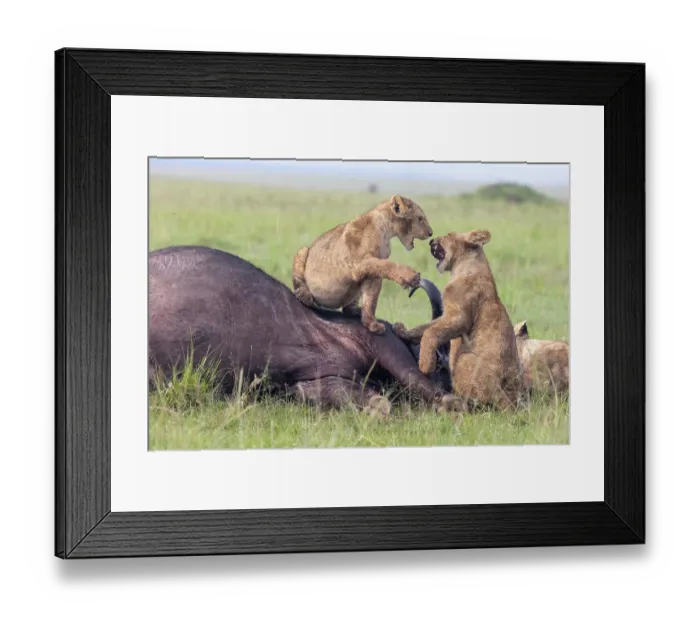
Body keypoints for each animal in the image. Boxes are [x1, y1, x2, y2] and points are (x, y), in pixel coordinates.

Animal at [292, 194, 433, 334]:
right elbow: (388, 264)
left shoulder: (372, 275)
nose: (431, 233)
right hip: (303, 251)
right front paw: (410, 276)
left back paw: (356, 310)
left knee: (347, 309)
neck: (385, 232)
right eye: (420, 218)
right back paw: (304, 296)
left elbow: (371, 299)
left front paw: (372, 324)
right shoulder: (357, 263)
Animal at [393, 230, 526, 410]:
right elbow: (425, 327)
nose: (431, 241)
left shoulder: (459, 318)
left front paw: (425, 364)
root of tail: (515, 404)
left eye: (448, 234)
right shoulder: (447, 315)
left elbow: (430, 332)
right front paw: (402, 331)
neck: (461, 267)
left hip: (464, 360)